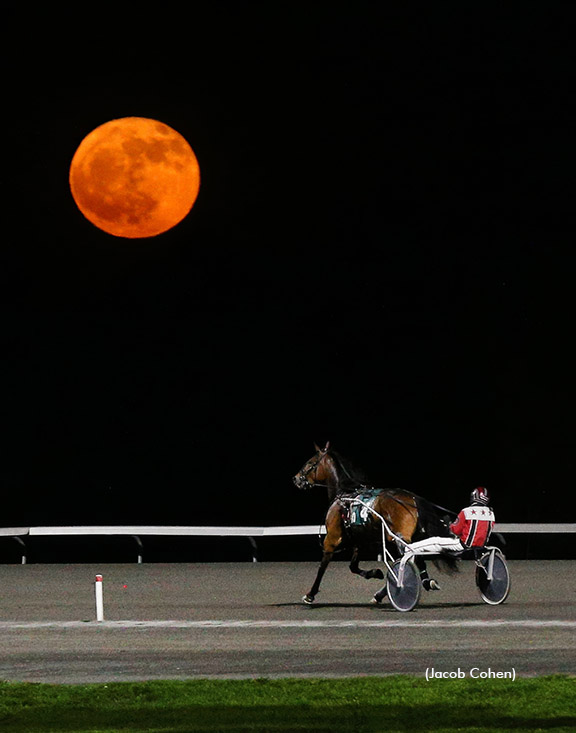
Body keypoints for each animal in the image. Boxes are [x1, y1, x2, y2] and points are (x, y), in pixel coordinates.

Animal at [294, 444, 456, 604]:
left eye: (310, 462)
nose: (296, 479)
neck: (344, 496)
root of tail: (412, 499)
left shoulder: (331, 539)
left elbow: (322, 567)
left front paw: (310, 594)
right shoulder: (360, 540)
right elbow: (353, 566)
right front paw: (375, 573)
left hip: (399, 538)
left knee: (409, 560)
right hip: (412, 537)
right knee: (416, 559)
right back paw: (420, 583)